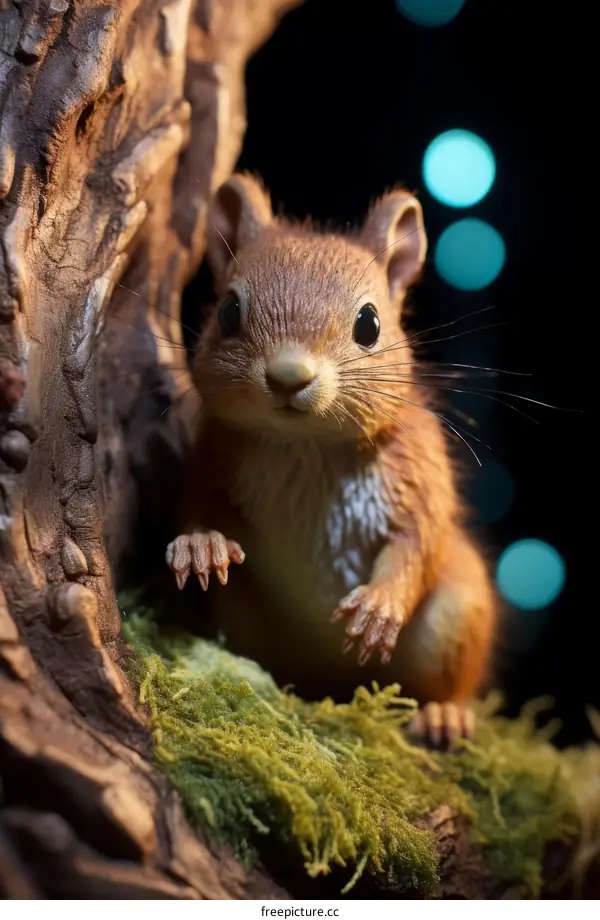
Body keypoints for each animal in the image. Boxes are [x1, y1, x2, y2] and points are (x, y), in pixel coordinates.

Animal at [166, 173, 497, 746]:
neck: (308, 443)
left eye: (369, 324)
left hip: (456, 616)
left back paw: (443, 714)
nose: (288, 376)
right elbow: (195, 503)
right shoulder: (215, 452)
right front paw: (200, 545)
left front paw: (380, 605)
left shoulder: (416, 465)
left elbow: (418, 539)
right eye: (228, 312)